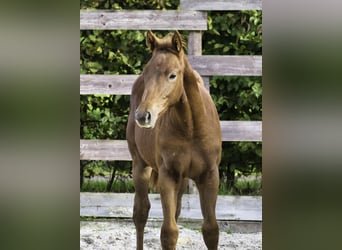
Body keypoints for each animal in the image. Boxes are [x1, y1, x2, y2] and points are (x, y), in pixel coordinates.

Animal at [126, 31, 222, 250]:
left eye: (172, 75)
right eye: (146, 73)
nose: (143, 116)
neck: (191, 128)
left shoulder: (210, 175)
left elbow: (211, 230)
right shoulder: (167, 174)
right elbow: (169, 232)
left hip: (183, 178)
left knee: (175, 211)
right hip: (140, 165)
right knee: (140, 213)